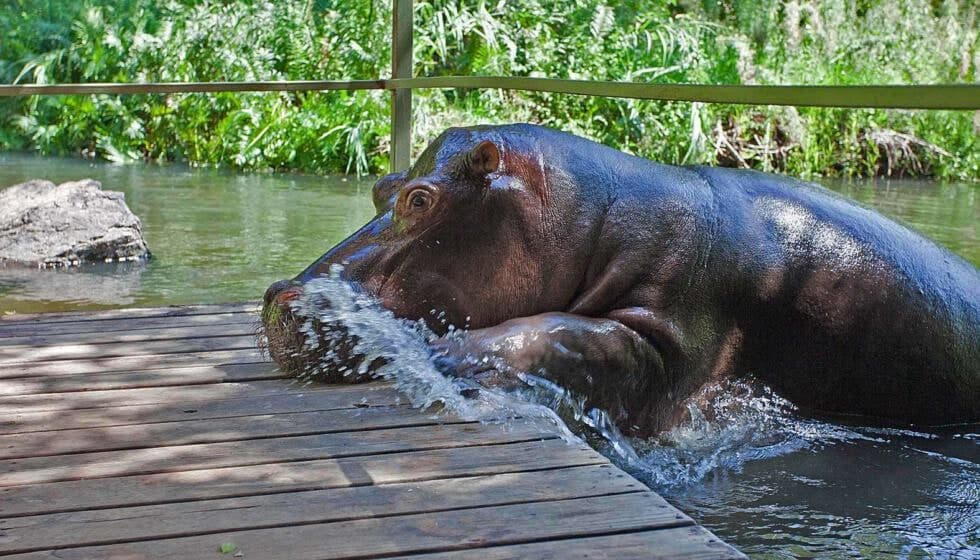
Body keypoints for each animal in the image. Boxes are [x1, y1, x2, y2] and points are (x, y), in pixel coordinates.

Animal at [262, 124, 980, 436]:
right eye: (382, 186)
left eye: (419, 199)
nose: (277, 296)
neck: (592, 215)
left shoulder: (671, 339)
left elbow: (562, 334)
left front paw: (445, 355)